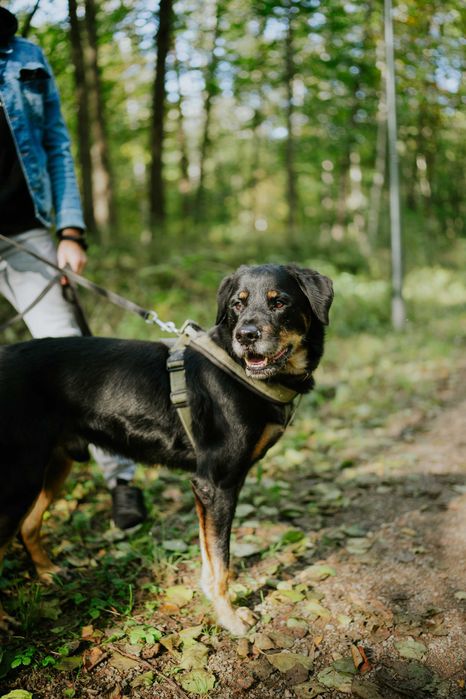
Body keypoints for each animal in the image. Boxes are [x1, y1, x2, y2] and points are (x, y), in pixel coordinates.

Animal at [0, 262, 334, 636]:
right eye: (237, 304)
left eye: (280, 303)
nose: (246, 336)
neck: (239, 370)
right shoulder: (217, 484)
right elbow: (222, 561)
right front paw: (231, 619)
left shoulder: (205, 489)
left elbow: (209, 558)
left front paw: (214, 604)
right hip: (19, 480)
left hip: (51, 466)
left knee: (28, 526)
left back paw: (48, 572)